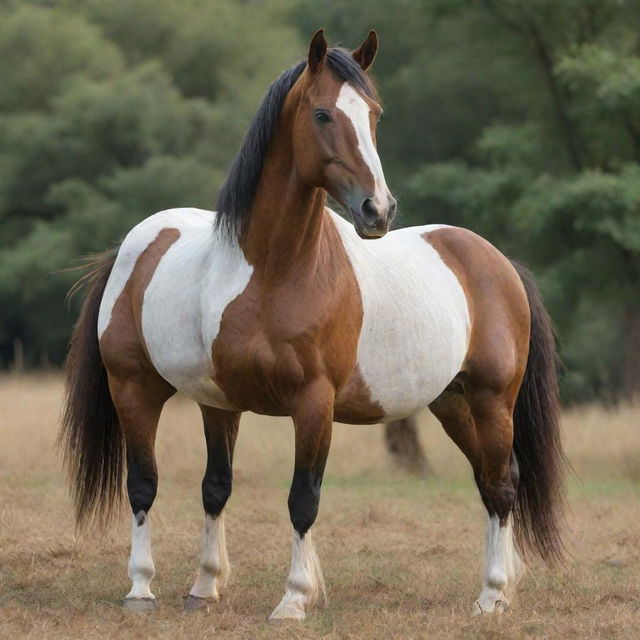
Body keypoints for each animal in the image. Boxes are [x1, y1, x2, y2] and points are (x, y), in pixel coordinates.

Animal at [60, 31, 564, 620]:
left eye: (374, 114)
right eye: (323, 113)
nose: (378, 211)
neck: (274, 270)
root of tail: (500, 265)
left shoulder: (314, 403)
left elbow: (303, 498)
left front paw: (293, 599)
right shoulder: (195, 397)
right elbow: (177, 486)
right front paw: (163, 589)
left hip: (490, 400)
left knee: (500, 486)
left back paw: (492, 594)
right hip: (446, 403)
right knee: (488, 481)